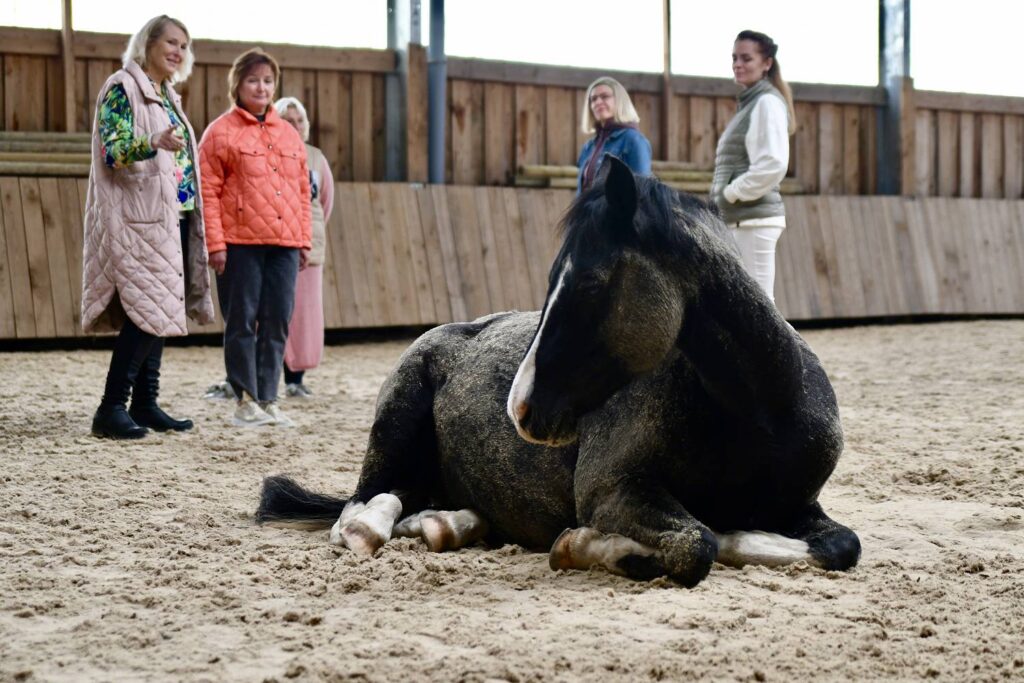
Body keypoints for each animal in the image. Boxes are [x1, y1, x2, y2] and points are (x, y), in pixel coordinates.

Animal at [256, 156, 856, 589]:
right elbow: (697, 544)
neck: (765, 414)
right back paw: (377, 527)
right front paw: (586, 546)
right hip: (393, 427)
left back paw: (449, 524)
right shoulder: (612, 491)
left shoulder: (801, 506)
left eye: (588, 282)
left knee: (415, 499)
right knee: (363, 506)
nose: (520, 406)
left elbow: (843, 546)